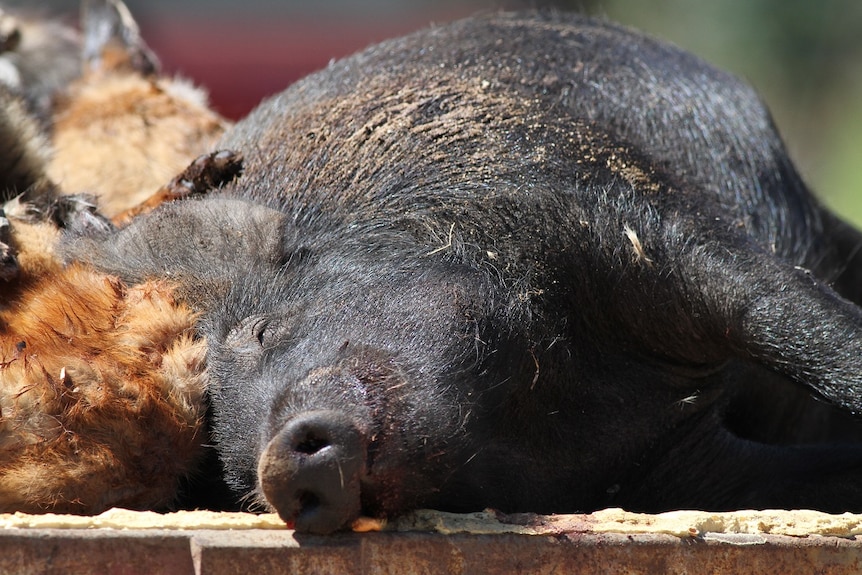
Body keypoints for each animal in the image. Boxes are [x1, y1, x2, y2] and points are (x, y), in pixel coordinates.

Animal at [67, 12, 862, 536]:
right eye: (234, 479)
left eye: (263, 332)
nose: (280, 470)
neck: (542, 399)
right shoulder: (667, 470)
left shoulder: (629, 223)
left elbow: (787, 318)